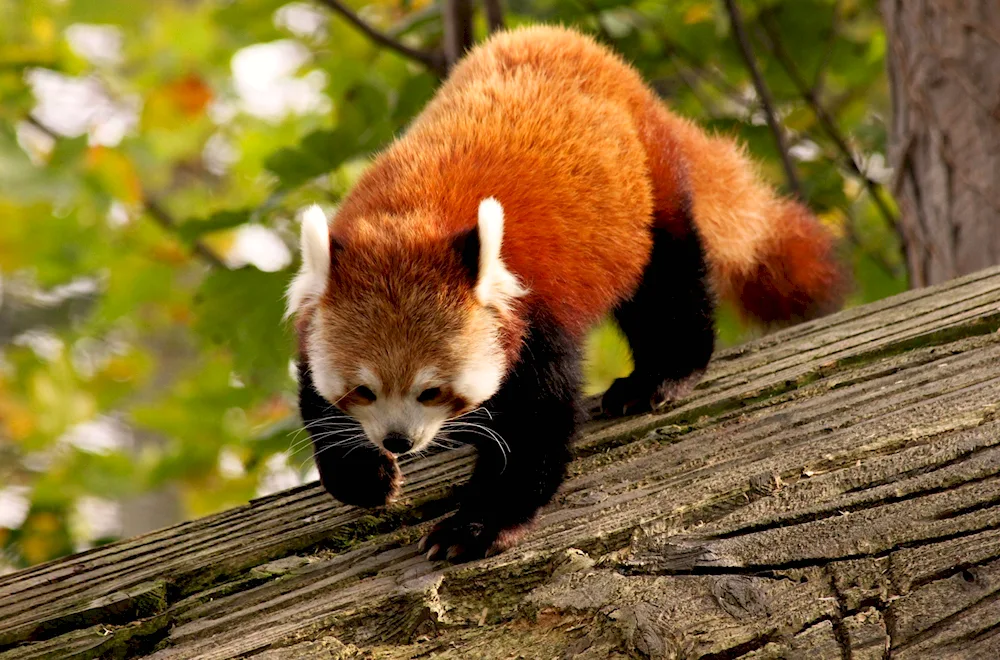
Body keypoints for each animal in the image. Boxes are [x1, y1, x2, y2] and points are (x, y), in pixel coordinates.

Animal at [288, 25, 844, 564]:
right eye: (363, 390)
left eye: (433, 390)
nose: (398, 441)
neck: (408, 217)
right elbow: (318, 402)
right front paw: (363, 474)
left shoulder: (535, 314)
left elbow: (536, 425)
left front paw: (478, 525)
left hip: (649, 192)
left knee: (668, 286)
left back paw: (662, 375)